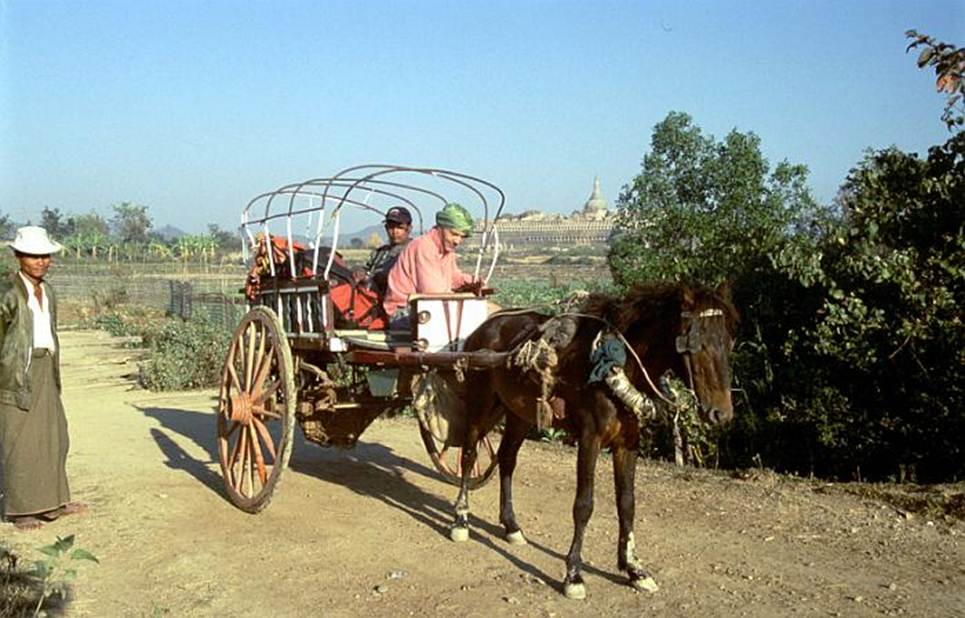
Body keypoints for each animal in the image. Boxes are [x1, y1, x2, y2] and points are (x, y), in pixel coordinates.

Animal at [448, 280, 736, 596]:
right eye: (696, 343)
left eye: (728, 340)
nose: (721, 414)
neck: (617, 364)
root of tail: (485, 327)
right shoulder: (589, 439)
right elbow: (584, 505)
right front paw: (573, 574)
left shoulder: (627, 444)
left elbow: (627, 503)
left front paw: (634, 569)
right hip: (481, 403)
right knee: (469, 454)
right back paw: (460, 519)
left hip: (519, 412)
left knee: (507, 459)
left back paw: (511, 526)